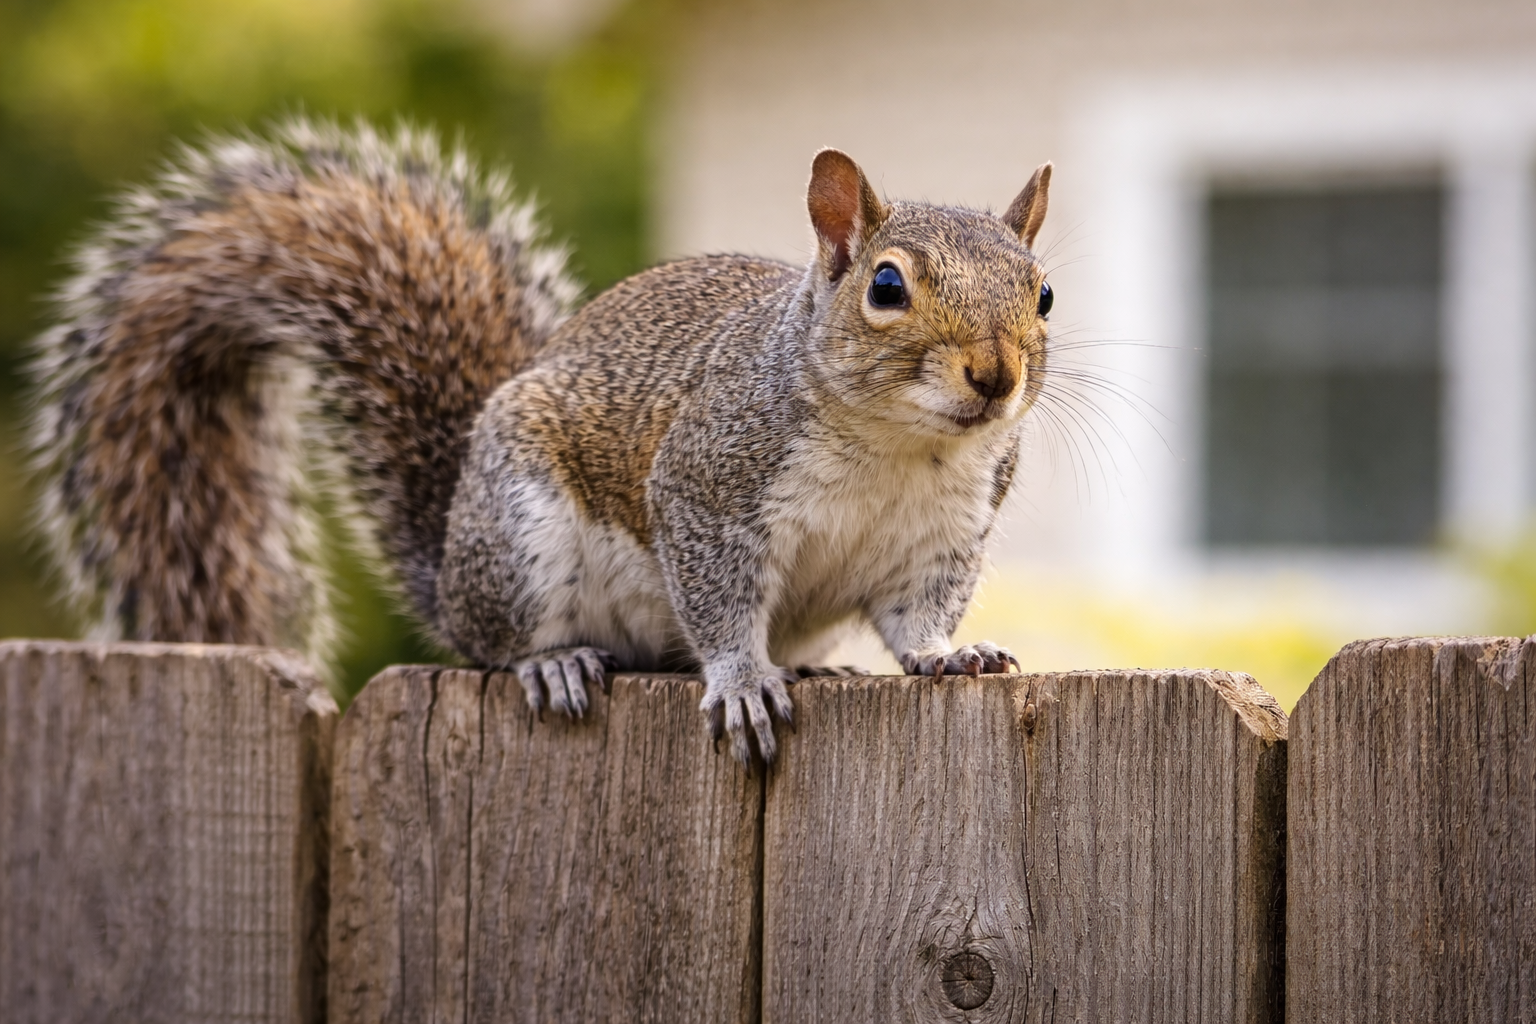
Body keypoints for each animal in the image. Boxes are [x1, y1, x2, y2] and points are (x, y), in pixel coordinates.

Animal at [30, 120, 1053, 764]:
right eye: (885, 287)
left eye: (1042, 293)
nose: (995, 376)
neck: (896, 447)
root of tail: (450, 568)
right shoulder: (706, 485)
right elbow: (718, 602)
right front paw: (740, 680)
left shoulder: (943, 536)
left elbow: (916, 616)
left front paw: (950, 655)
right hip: (521, 533)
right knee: (498, 643)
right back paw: (554, 661)